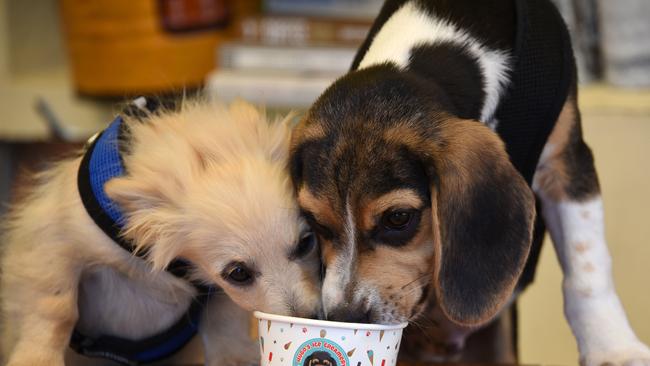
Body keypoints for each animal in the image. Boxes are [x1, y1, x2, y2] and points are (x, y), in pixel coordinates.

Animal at [1, 98, 320, 364]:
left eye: (306, 243)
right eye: (238, 273)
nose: (307, 319)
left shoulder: (216, 297)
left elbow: (224, 325)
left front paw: (235, 359)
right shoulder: (55, 244)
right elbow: (56, 308)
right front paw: (36, 359)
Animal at [290, 0, 648, 366]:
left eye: (398, 218)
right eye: (316, 222)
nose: (344, 317)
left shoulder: (567, 160)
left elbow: (586, 265)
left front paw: (613, 349)